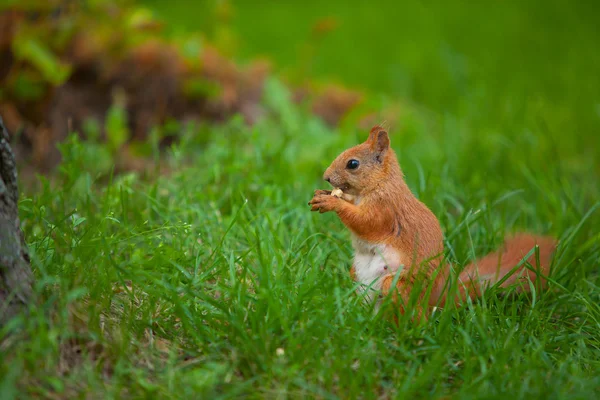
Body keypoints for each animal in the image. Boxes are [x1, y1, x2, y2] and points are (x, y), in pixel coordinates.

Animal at [310, 125, 556, 318]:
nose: (326, 177)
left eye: (353, 164)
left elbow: (366, 223)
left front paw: (333, 203)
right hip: (357, 273)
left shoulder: (386, 208)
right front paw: (324, 194)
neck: (379, 184)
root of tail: (434, 301)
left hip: (398, 287)